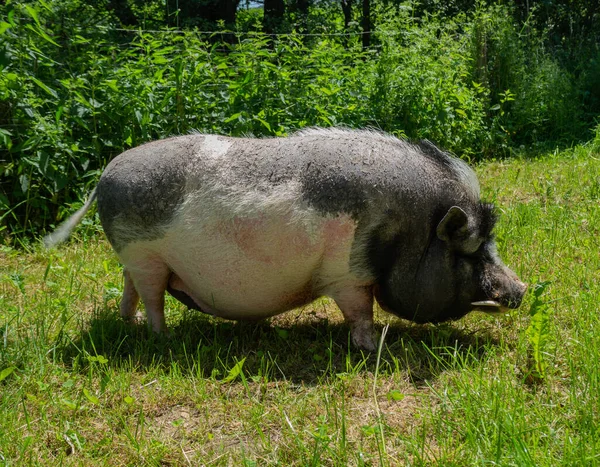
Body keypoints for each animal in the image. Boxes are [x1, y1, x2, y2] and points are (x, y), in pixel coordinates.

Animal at [45, 129, 524, 352]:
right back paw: (162, 339)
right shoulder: (349, 274)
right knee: (152, 297)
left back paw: (131, 326)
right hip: (144, 256)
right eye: (470, 253)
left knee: (130, 291)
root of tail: (105, 176)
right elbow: (360, 313)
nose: (521, 288)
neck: (410, 230)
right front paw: (374, 351)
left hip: (135, 259)